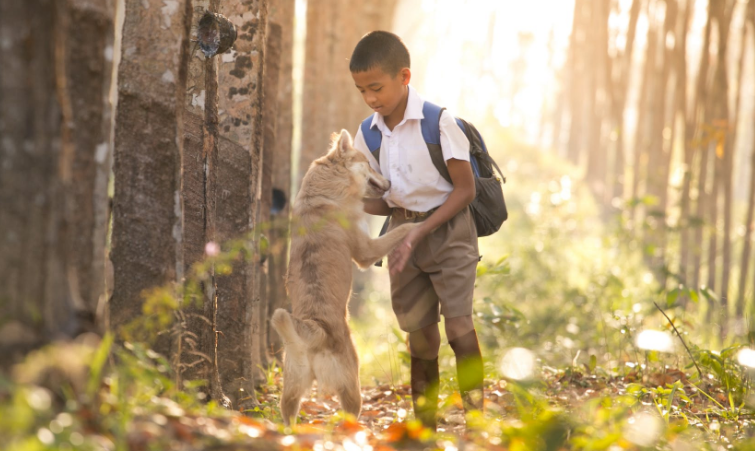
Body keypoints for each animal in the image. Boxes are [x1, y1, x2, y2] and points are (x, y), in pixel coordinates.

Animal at [270, 129, 416, 426]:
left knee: (288, 414)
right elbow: (400, 231)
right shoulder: (366, 251)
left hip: (291, 389)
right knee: (351, 415)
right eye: (369, 164)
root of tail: (315, 331)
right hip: (352, 385)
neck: (324, 193)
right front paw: (418, 224)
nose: (389, 182)